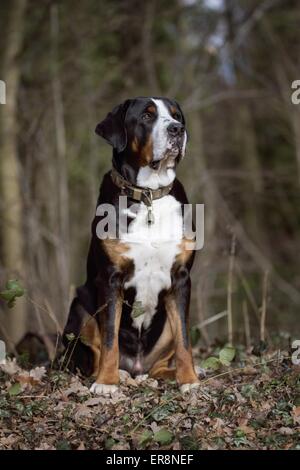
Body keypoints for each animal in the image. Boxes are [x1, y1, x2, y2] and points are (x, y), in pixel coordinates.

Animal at [63, 95, 199, 392]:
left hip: (163, 329)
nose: (177, 130)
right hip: (81, 308)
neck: (148, 196)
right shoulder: (110, 279)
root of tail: (137, 366)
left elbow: (185, 340)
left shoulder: (181, 278)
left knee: (161, 360)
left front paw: (190, 380)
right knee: (95, 355)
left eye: (177, 116)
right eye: (147, 116)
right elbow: (110, 338)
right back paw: (117, 375)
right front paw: (106, 382)